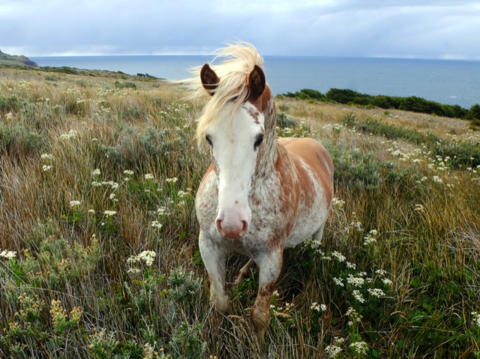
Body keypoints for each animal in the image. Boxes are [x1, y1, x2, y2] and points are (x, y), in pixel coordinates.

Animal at [188, 43, 334, 344]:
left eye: (259, 137)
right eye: (209, 137)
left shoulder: (271, 259)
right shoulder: (208, 245)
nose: (231, 224)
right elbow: (220, 302)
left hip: (318, 231)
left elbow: (259, 315)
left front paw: (257, 345)